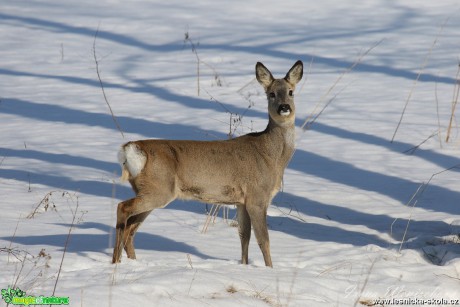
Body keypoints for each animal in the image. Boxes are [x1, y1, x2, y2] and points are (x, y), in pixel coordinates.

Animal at [113, 60, 304, 268]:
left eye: (291, 92)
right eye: (271, 93)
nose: (284, 107)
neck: (271, 156)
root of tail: (131, 148)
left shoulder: (241, 201)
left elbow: (243, 236)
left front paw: (244, 266)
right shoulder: (257, 196)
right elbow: (264, 240)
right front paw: (270, 269)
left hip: (149, 189)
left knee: (131, 228)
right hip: (159, 189)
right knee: (123, 209)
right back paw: (115, 262)